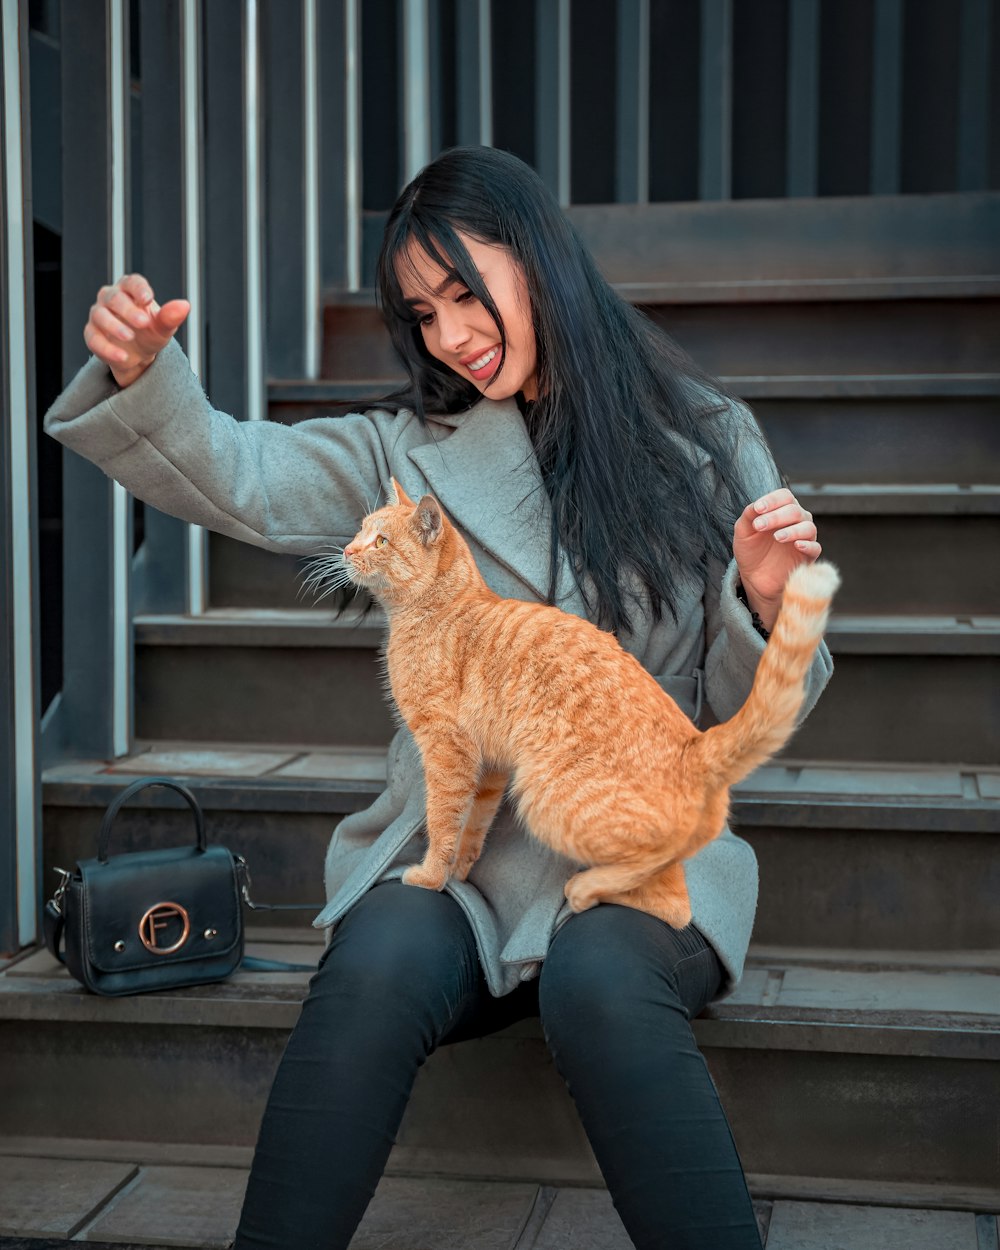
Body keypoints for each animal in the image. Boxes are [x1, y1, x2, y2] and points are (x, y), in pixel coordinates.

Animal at [325, 477, 835, 930]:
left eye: (381, 540)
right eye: (360, 529)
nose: (348, 550)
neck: (440, 608)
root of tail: (695, 744)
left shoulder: (446, 749)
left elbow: (442, 819)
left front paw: (431, 876)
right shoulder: (489, 765)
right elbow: (473, 825)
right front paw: (461, 872)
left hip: (545, 799)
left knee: (674, 902)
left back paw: (587, 889)